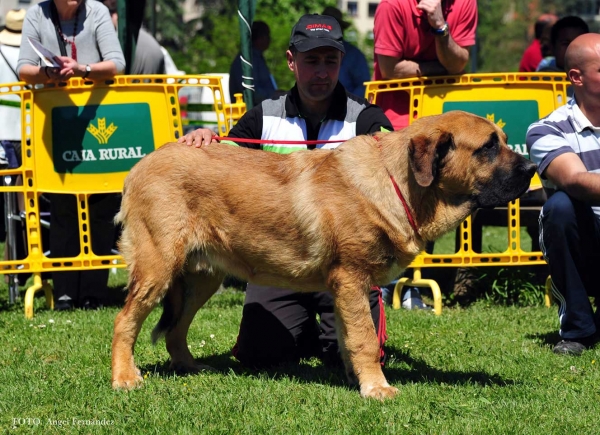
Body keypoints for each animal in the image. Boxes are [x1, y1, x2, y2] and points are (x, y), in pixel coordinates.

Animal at [110, 110, 536, 400]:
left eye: (503, 140)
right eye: (488, 147)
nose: (533, 166)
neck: (398, 182)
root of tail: (140, 166)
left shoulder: (348, 289)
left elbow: (350, 338)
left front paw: (355, 378)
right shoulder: (352, 280)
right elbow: (366, 339)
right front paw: (377, 388)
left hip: (201, 279)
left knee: (176, 329)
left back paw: (189, 366)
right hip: (158, 267)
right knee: (124, 321)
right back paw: (124, 377)